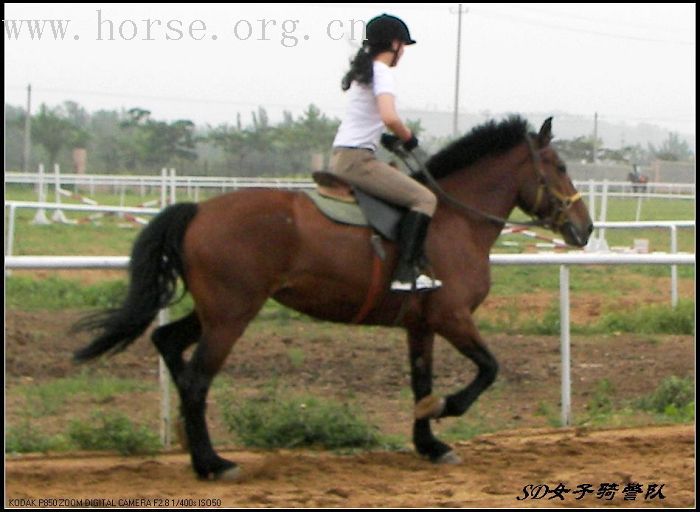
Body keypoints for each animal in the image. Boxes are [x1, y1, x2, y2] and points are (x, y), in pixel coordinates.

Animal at [75, 116, 592, 480]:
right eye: (561, 167)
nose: (584, 228)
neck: (453, 220)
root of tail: (199, 210)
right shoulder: (453, 317)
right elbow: (488, 369)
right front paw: (443, 411)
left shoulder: (421, 325)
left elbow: (420, 381)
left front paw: (429, 444)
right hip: (230, 317)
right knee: (198, 380)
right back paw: (214, 463)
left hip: (217, 312)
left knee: (168, 345)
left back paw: (192, 444)